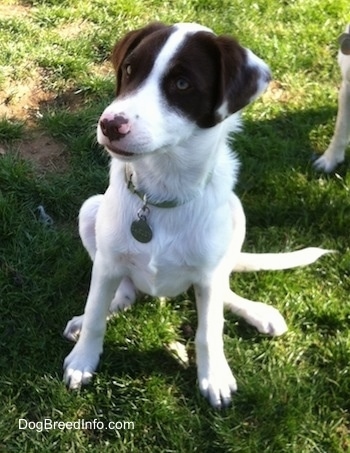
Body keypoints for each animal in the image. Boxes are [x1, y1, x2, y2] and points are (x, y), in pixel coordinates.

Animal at [63, 23, 330, 408]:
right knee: (124, 292)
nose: (110, 125)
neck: (161, 192)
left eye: (182, 83)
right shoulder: (108, 260)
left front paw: (214, 375)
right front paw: (84, 359)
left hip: (235, 219)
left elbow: (209, 330)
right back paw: (99, 311)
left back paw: (257, 312)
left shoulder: (208, 276)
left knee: (223, 292)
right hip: (90, 211)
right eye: (129, 69)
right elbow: (97, 310)